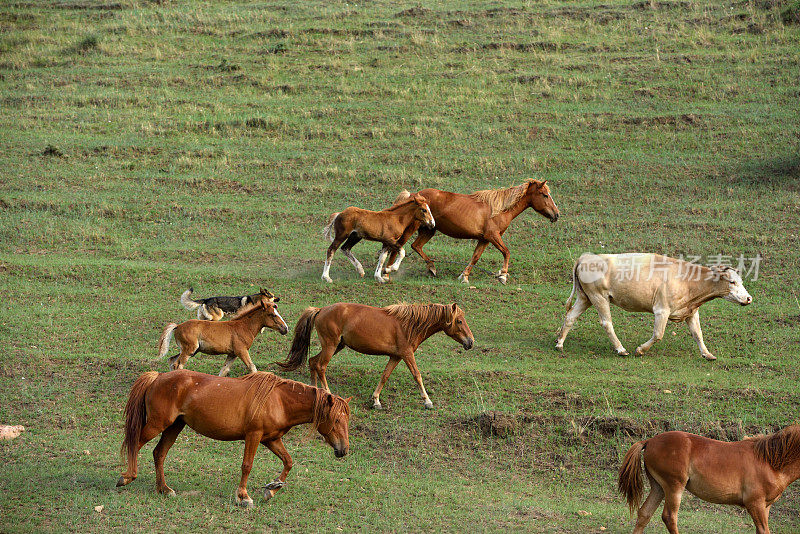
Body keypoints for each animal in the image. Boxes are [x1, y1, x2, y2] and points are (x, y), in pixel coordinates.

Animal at [116, 370, 350, 508]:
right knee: (135, 444)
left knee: (159, 453)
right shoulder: (254, 436)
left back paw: (164, 489)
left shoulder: (271, 439)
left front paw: (272, 488)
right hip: (158, 424)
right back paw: (127, 477)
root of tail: (158, 377)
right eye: (337, 420)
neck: (278, 400)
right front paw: (244, 497)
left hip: (174, 426)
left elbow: (289, 462)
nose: (344, 450)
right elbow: (247, 465)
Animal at [158, 300, 290, 378]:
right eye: (272, 314)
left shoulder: (232, 354)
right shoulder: (241, 351)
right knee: (177, 365)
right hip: (189, 349)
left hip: (189, 350)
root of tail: (178, 326)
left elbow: (224, 370)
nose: (285, 329)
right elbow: (252, 367)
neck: (243, 327)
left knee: (171, 360)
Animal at [276, 304, 476, 412]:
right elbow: (417, 375)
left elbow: (385, 376)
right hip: (331, 346)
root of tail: (321, 309)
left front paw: (376, 400)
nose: (471, 342)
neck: (409, 324)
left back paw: (315, 390)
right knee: (320, 366)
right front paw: (427, 401)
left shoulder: (395, 356)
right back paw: (327, 392)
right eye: (459, 321)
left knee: (312, 362)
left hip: (336, 346)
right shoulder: (407, 354)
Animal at [552, 254, 752, 362]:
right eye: (732, 282)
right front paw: (640, 350)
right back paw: (621, 349)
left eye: (741, 281)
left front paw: (707, 354)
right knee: (607, 323)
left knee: (570, 317)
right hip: (598, 297)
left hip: (585, 297)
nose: (749, 298)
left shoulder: (691, 312)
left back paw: (560, 343)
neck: (688, 281)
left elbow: (698, 334)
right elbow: (658, 335)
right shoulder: (661, 310)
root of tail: (585, 257)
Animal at [620, 428, 800, 534]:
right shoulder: (755, 504)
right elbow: (763, 530)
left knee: (644, 513)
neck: (770, 461)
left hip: (658, 487)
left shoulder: (765, 506)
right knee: (669, 517)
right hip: (673, 487)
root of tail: (649, 441)